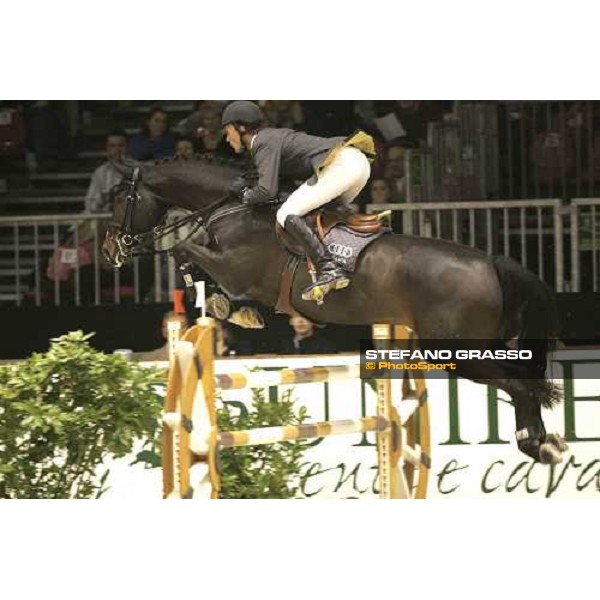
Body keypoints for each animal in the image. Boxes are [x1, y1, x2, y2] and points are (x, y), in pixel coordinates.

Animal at [102, 155, 568, 464]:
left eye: (119, 199)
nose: (109, 251)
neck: (230, 207)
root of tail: (492, 261)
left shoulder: (236, 268)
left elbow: (183, 250)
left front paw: (224, 305)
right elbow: (191, 254)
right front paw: (234, 310)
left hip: (455, 353)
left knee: (521, 385)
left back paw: (536, 444)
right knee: (527, 381)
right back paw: (545, 442)